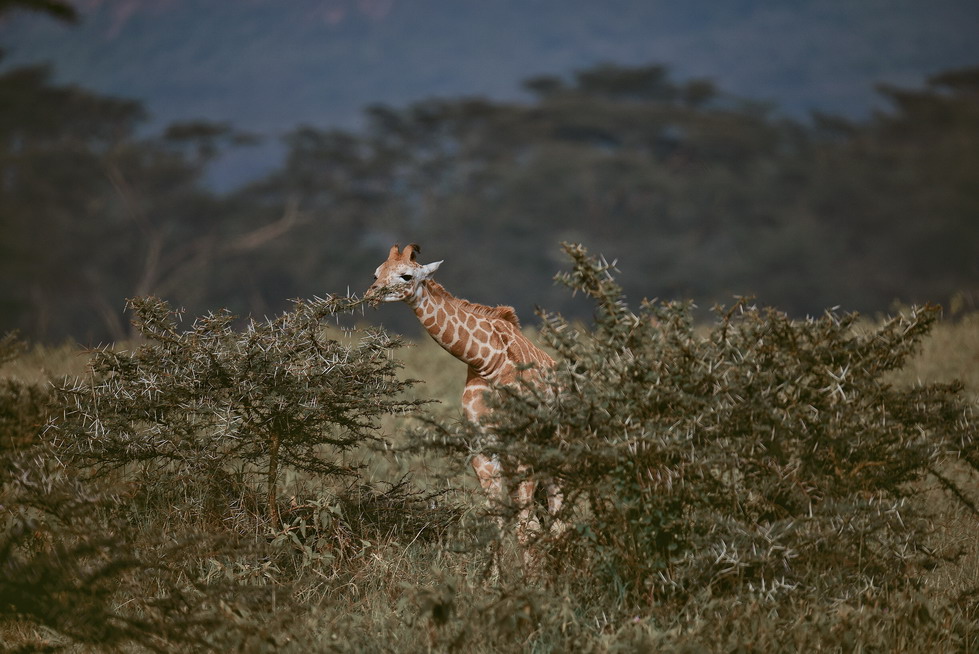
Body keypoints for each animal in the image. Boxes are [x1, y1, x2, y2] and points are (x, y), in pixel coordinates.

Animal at [364, 243, 564, 544]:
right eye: (375, 273)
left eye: (407, 276)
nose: (371, 294)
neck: (489, 362)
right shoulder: (483, 444)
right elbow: (500, 519)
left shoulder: (522, 442)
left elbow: (526, 525)